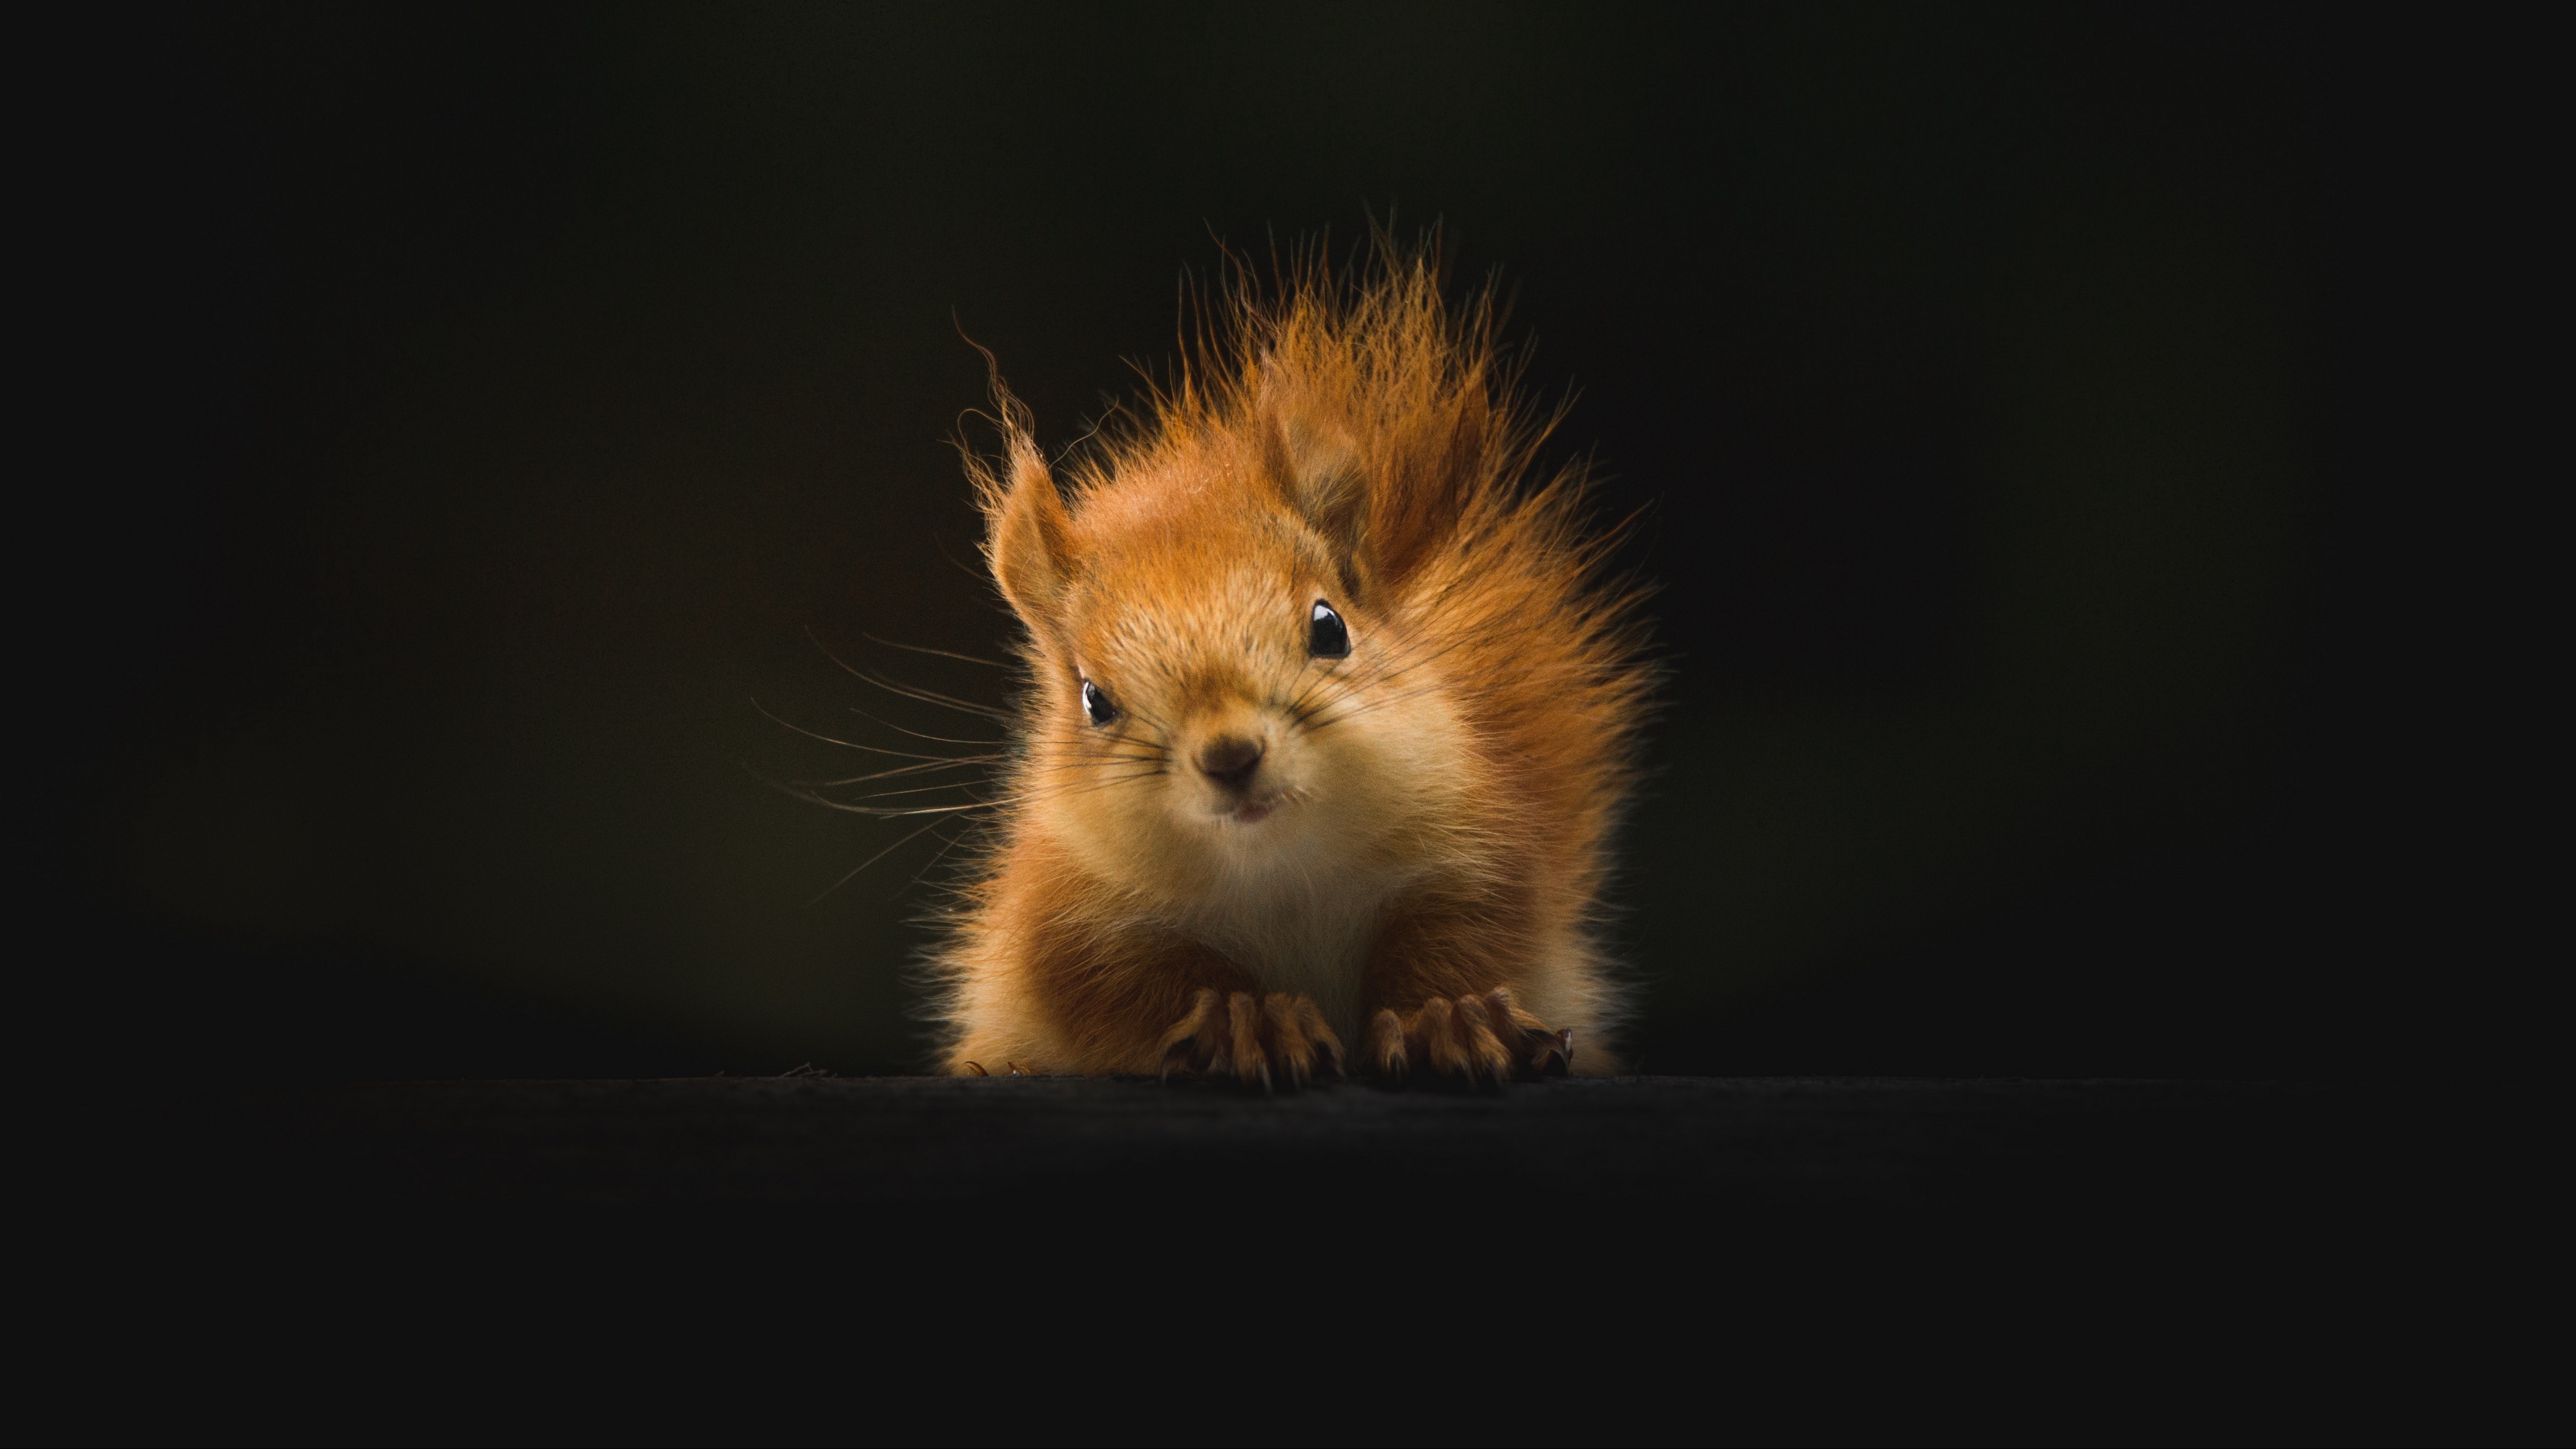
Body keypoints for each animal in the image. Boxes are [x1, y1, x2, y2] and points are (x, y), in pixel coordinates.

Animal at [931, 253, 1653, 1084]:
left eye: (1330, 627)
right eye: (1094, 700)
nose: (1230, 756)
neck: (1279, 872)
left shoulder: (1474, 850)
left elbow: (1463, 940)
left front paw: (1451, 1017)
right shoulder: (1069, 921)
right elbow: (1134, 987)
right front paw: (1249, 1020)